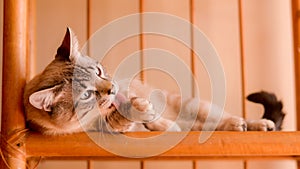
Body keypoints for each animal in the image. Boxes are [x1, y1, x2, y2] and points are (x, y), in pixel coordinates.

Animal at [23, 28, 276, 136]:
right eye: (86, 94)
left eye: (99, 71)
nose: (112, 89)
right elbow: (122, 122)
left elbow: (146, 110)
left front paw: (146, 111)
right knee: (204, 127)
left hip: (197, 106)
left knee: (224, 120)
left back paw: (256, 124)